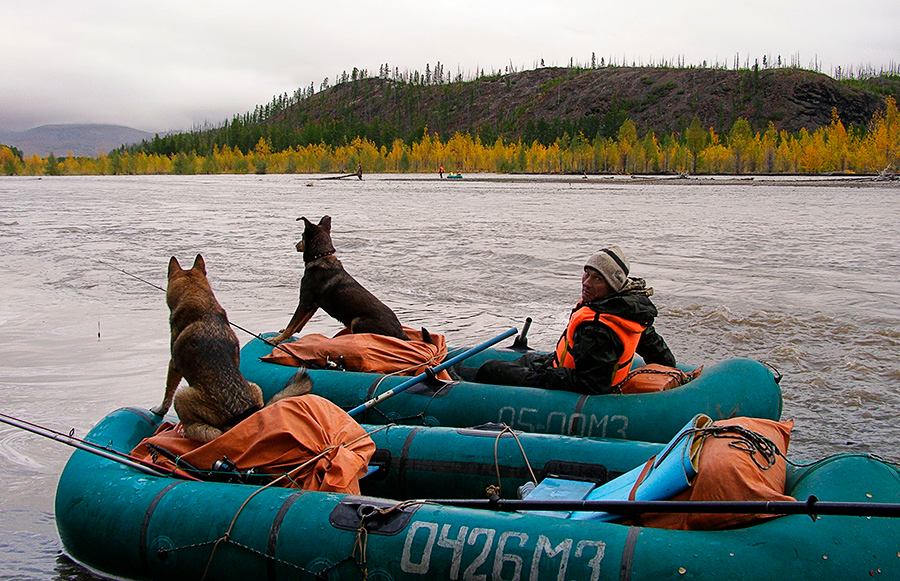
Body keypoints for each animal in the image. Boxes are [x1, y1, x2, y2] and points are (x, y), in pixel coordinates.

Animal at [153, 254, 312, 440]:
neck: (198, 298)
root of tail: (242, 416)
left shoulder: (173, 365)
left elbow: (167, 392)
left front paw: (159, 409)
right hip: (255, 386)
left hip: (183, 396)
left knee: (205, 431)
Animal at [268, 218, 408, 344]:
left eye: (302, 236)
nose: (296, 245)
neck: (320, 256)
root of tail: (402, 334)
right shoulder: (314, 304)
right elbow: (300, 323)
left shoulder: (305, 301)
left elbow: (292, 324)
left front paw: (276, 339)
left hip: (357, 321)